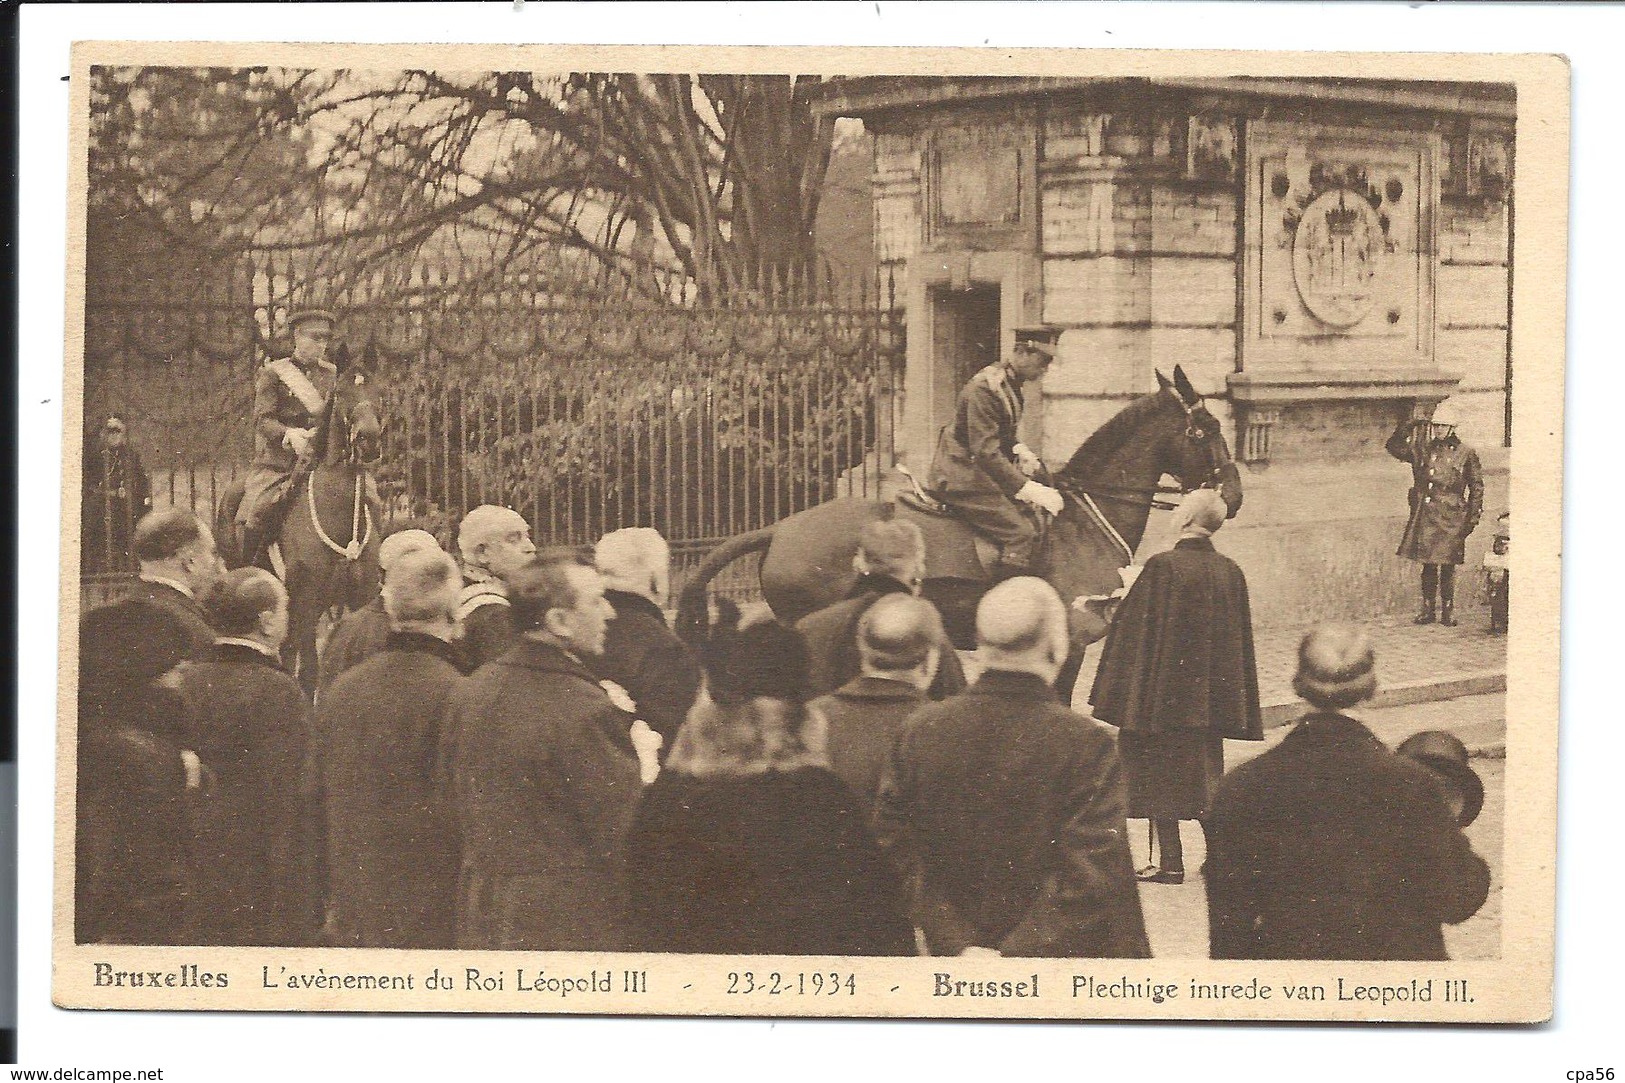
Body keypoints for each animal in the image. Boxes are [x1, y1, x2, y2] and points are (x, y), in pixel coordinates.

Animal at [216, 346, 383, 692]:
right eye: (341, 392)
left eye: (379, 391)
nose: (369, 441)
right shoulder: (307, 603)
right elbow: (309, 673)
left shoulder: (360, 597)